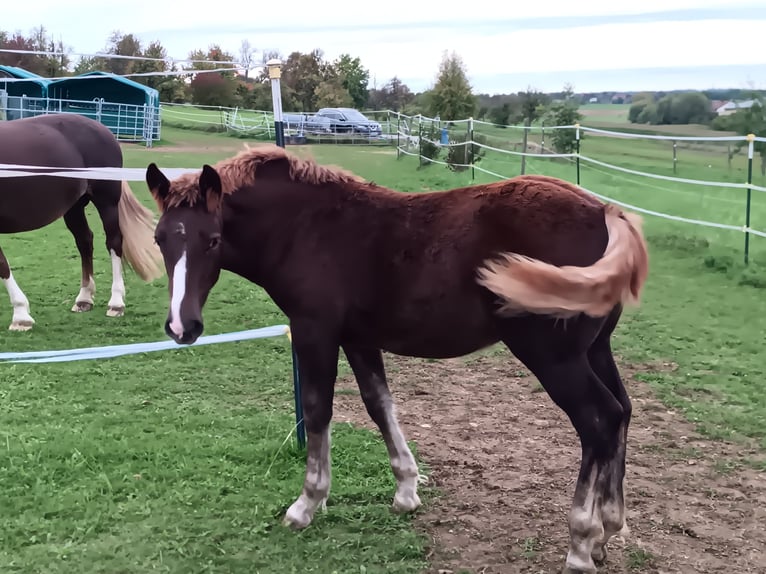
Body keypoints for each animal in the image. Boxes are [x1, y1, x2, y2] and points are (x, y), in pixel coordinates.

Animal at [0, 113, 164, 331]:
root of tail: (102, 128)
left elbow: (2, 264)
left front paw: (20, 315)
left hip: (106, 202)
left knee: (114, 243)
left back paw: (116, 303)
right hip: (74, 208)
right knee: (85, 241)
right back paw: (84, 298)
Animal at [144, 144, 649, 574]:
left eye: (212, 240)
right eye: (161, 238)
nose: (182, 327)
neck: (307, 227)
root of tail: (605, 212)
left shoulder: (314, 332)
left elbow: (317, 410)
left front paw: (306, 505)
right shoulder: (359, 338)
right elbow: (379, 404)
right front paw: (406, 491)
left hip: (551, 356)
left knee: (598, 420)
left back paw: (581, 543)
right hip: (594, 349)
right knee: (622, 412)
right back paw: (608, 529)